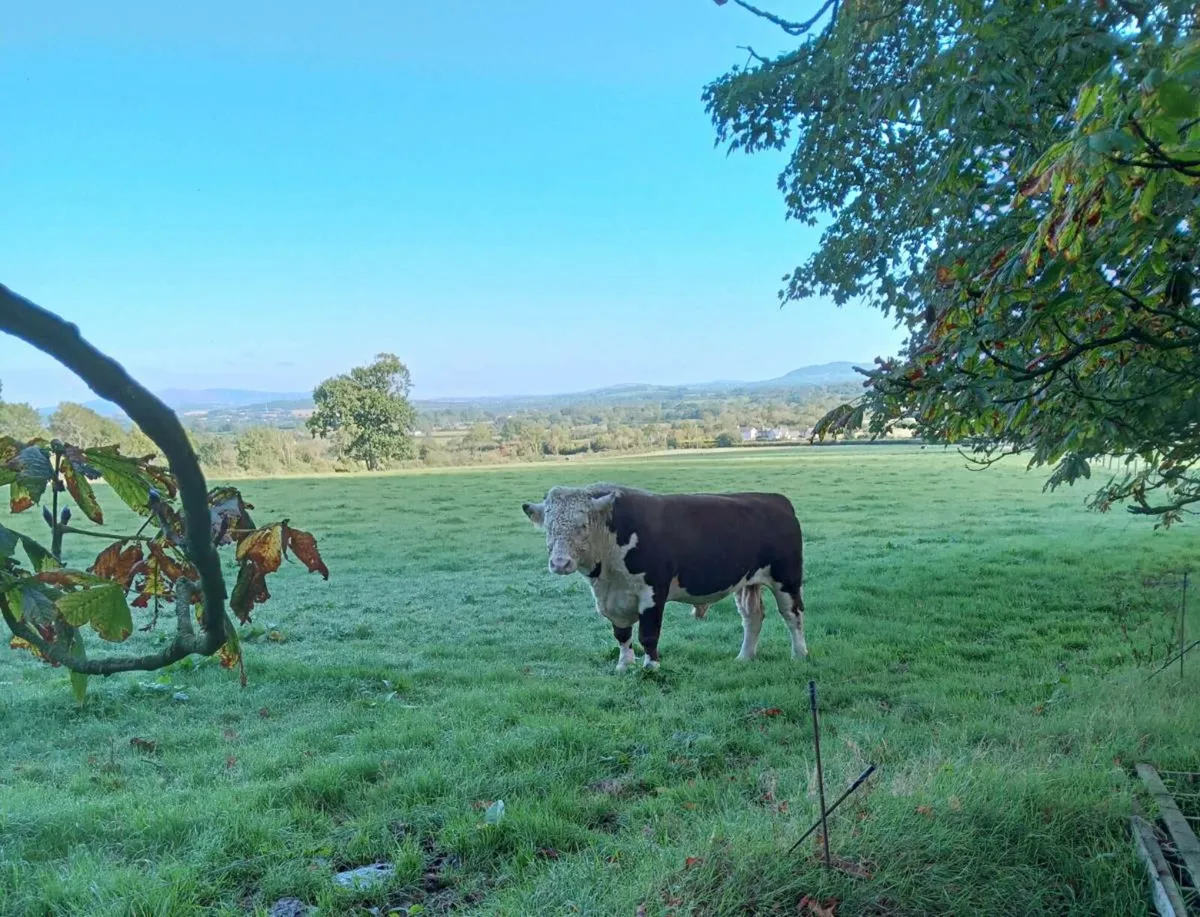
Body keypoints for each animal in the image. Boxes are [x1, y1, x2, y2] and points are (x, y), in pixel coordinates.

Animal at [521, 482, 807, 672]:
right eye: (548, 527)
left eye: (582, 525)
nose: (560, 563)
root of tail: (774, 499)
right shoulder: (612, 598)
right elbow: (621, 634)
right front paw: (624, 665)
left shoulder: (652, 592)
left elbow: (648, 634)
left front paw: (651, 666)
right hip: (748, 582)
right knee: (752, 617)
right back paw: (745, 657)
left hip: (786, 579)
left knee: (793, 615)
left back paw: (800, 654)